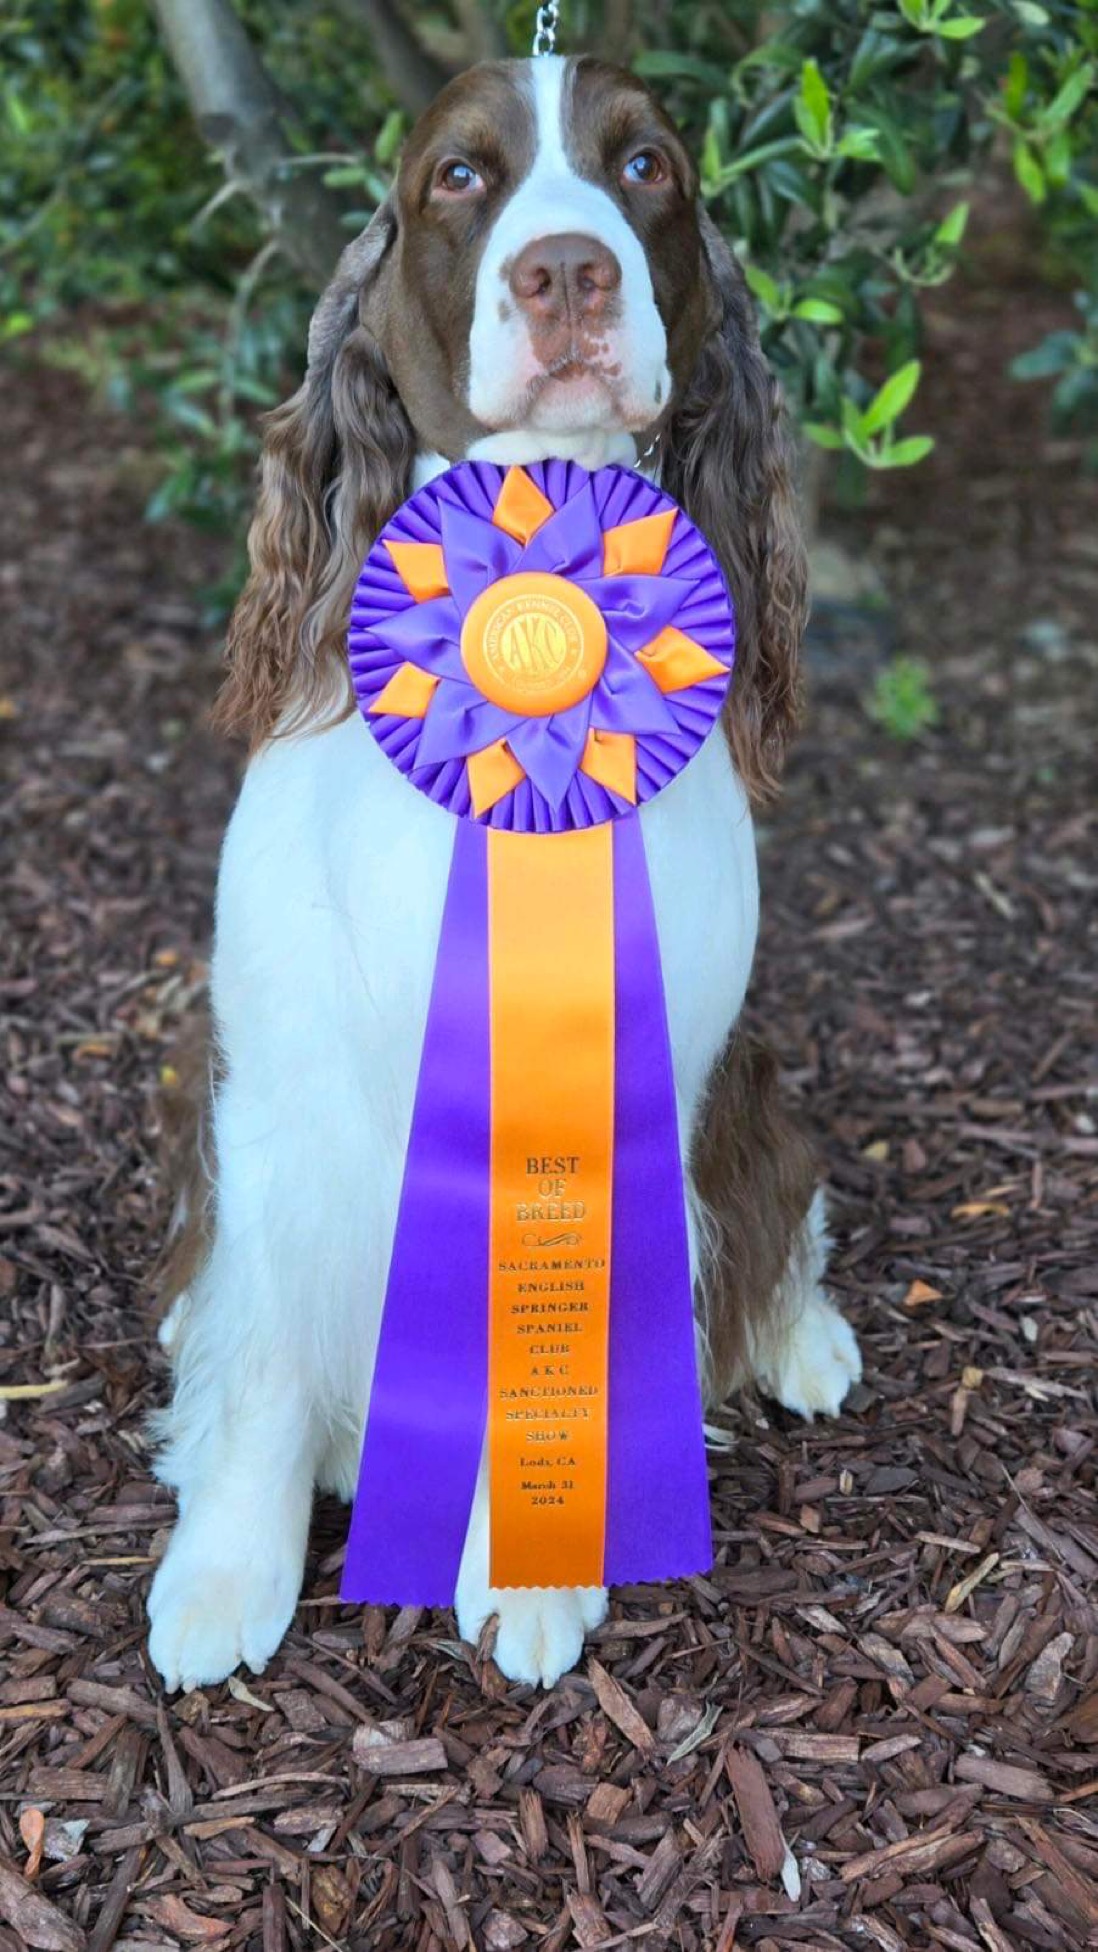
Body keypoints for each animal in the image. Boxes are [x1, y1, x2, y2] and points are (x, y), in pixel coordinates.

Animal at [147, 52, 862, 1693]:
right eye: (461, 176)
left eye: (646, 165)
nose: (568, 272)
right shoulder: (276, 1085)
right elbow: (264, 1331)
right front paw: (224, 1568)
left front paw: (529, 1569)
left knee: (780, 1201)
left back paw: (803, 1339)